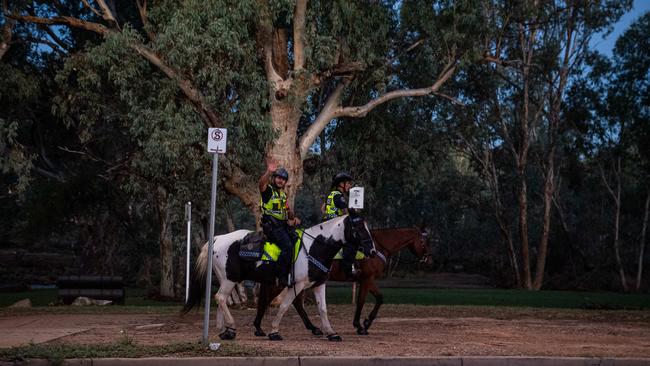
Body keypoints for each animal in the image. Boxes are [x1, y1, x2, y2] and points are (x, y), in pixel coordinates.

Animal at [182, 213, 374, 342]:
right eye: (358, 228)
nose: (371, 250)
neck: (314, 247)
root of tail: (217, 238)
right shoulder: (296, 285)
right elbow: (284, 306)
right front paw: (274, 331)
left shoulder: (318, 284)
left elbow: (322, 309)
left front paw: (331, 333)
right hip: (230, 279)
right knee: (220, 297)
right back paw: (231, 327)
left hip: (226, 279)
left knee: (221, 299)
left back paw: (225, 331)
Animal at [253, 226, 430, 338]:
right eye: (423, 242)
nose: (429, 260)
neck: (377, 247)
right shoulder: (367, 279)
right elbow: (362, 301)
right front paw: (361, 325)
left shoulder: (366, 280)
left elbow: (379, 298)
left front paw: (365, 323)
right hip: (285, 282)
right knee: (269, 299)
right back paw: (259, 327)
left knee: (295, 303)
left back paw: (313, 328)